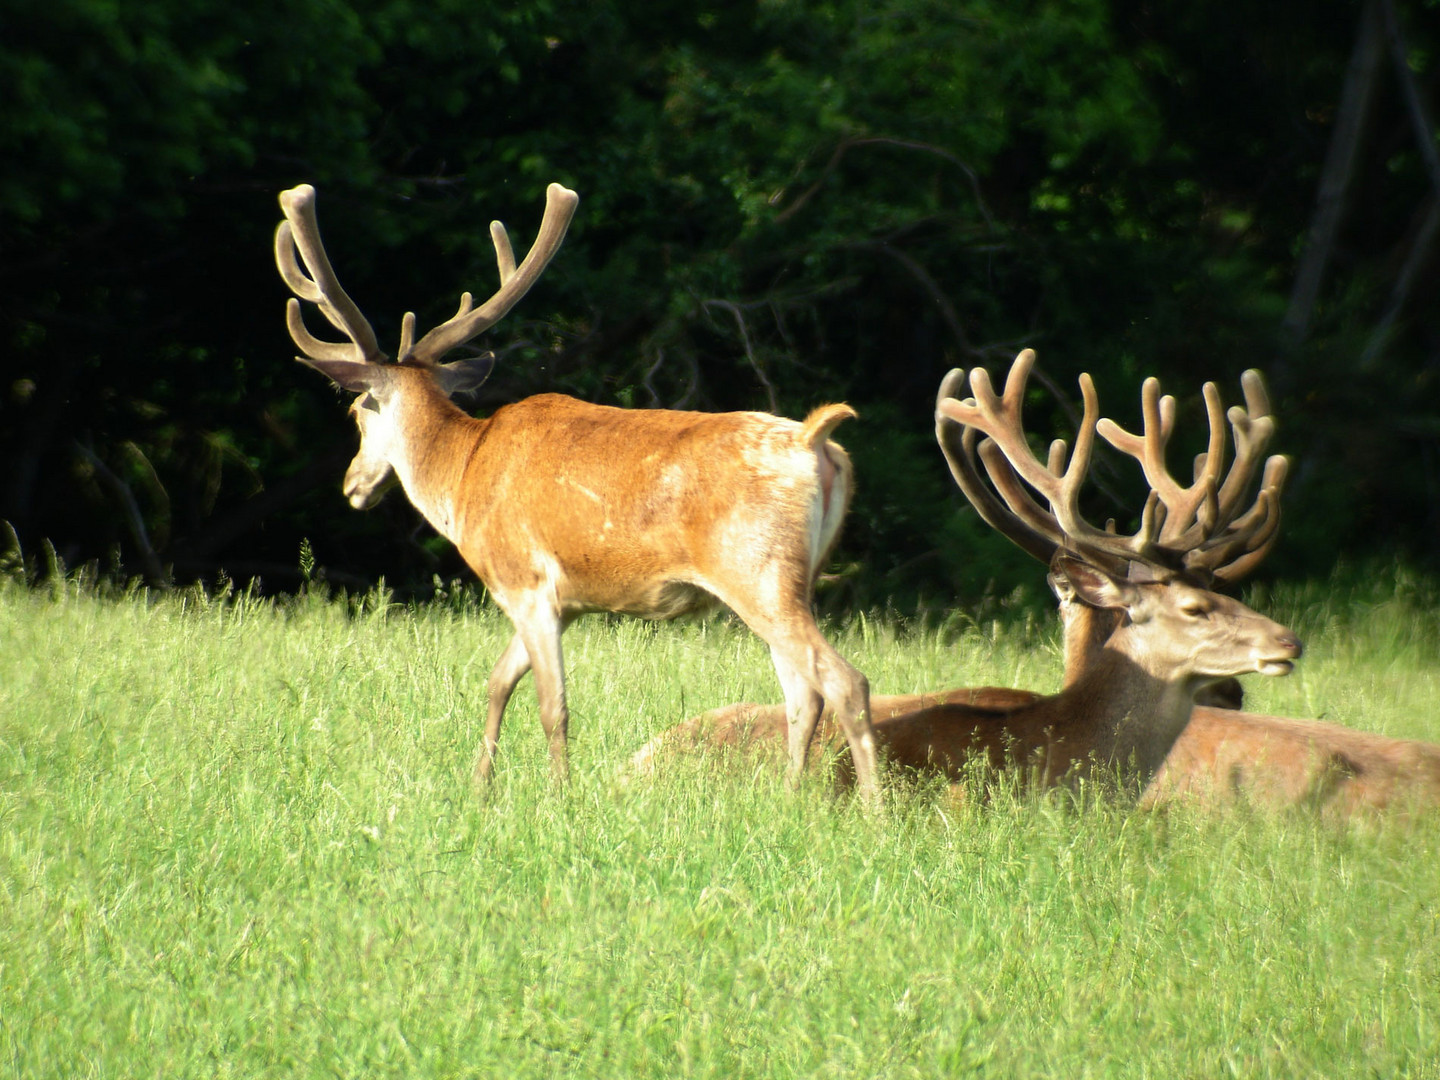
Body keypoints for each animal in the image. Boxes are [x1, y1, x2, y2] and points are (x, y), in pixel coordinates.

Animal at [270, 184, 875, 794]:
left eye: (357, 412)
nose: (353, 484)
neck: (462, 477)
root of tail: (815, 441)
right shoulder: (560, 602)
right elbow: (497, 681)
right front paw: (480, 786)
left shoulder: (524, 580)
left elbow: (552, 704)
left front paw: (558, 794)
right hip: (794, 580)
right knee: (802, 694)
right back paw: (790, 798)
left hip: (756, 570)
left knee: (844, 681)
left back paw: (870, 808)